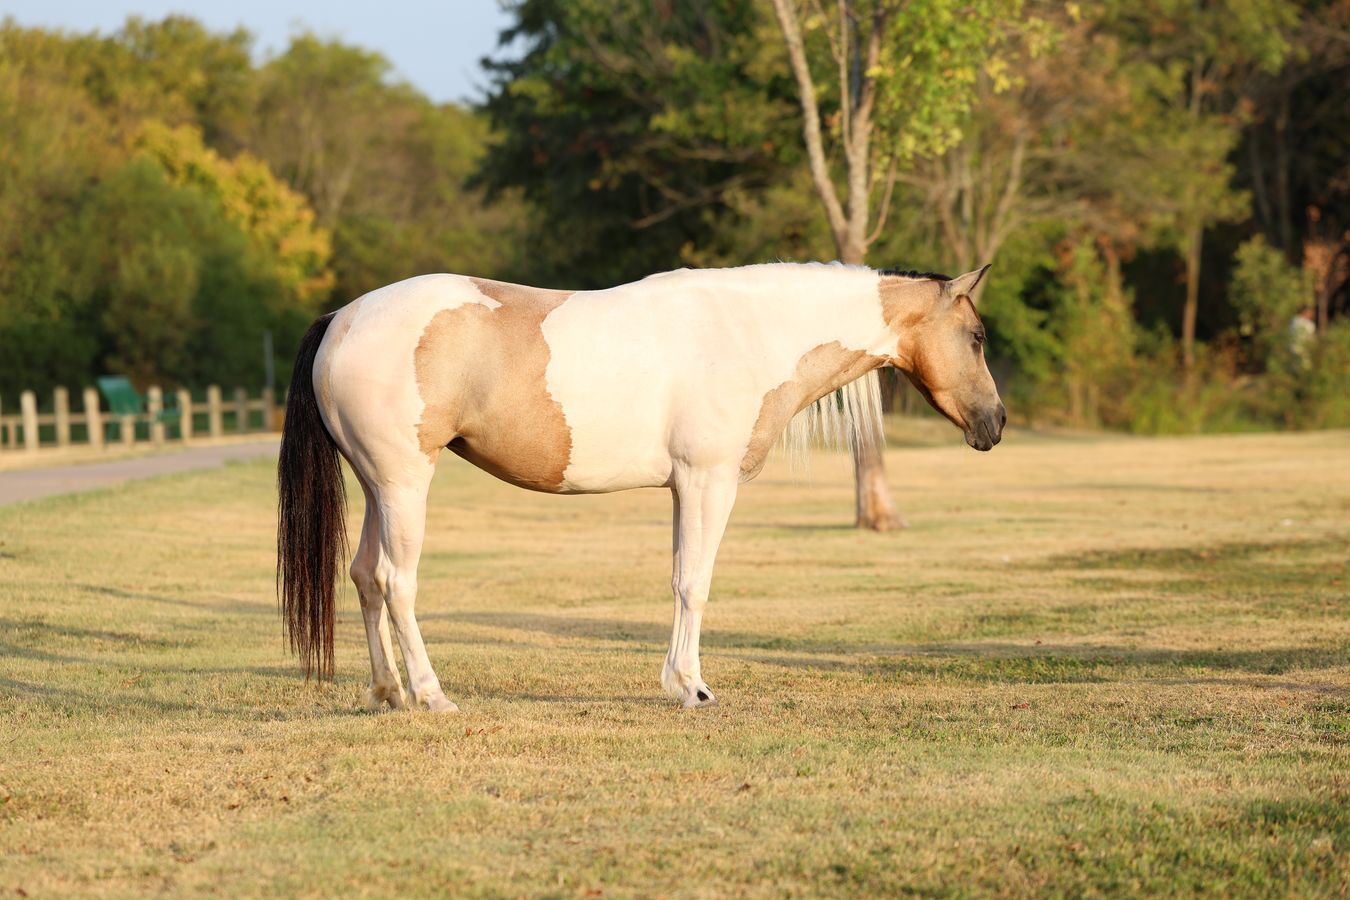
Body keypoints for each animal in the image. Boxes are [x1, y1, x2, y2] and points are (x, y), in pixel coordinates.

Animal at [277, 262, 1005, 711]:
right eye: (975, 335)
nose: (995, 423)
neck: (747, 331)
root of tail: (344, 316)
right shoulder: (708, 482)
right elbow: (695, 583)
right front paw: (690, 687)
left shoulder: (684, 488)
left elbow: (680, 579)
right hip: (405, 485)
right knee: (397, 581)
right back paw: (431, 694)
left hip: (378, 487)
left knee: (365, 577)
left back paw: (389, 693)